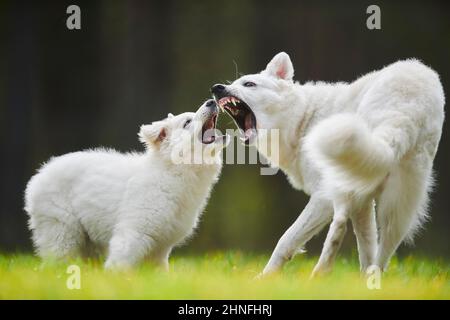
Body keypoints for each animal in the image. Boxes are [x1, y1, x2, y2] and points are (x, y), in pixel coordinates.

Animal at [24, 100, 229, 270]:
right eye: (187, 122)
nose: (212, 101)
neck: (172, 171)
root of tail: (40, 174)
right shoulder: (134, 232)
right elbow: (121, 261)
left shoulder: (160, 247)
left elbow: (161, 271)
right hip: (61, 230)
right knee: (57, 259)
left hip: (89, 240)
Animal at [213, 52, 444, 276]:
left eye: (249, 84)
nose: (216, 88)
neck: (303, 119)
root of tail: (407, 105)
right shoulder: (364, 204)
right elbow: (367, 250)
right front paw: (364, 282)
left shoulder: (322, 197)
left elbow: (286, 239)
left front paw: (264, 278)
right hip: (398, 207)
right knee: (381, 253)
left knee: (339, 225)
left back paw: (319, 273)